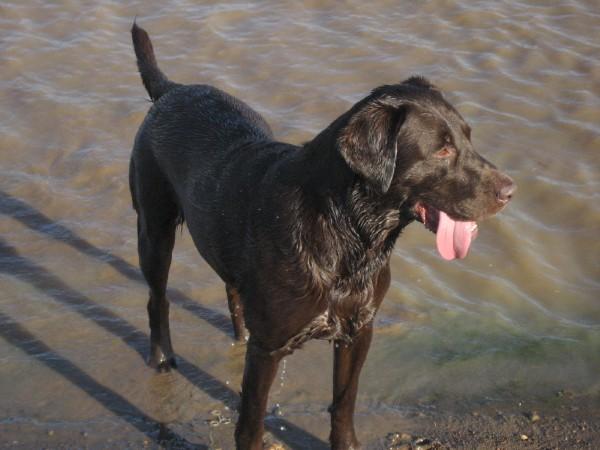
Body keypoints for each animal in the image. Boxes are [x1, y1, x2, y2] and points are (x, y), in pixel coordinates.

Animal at [129, 23, 515, 450]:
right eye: (443, 150)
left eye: (468, 137)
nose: (510, 190)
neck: (349, 235)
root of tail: (172, 89)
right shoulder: (268, 349)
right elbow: (251, 423)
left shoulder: (359, 330)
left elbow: (344, 403)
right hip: (154, 228)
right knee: (157, 298)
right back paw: (162, 358)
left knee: (231, 287)